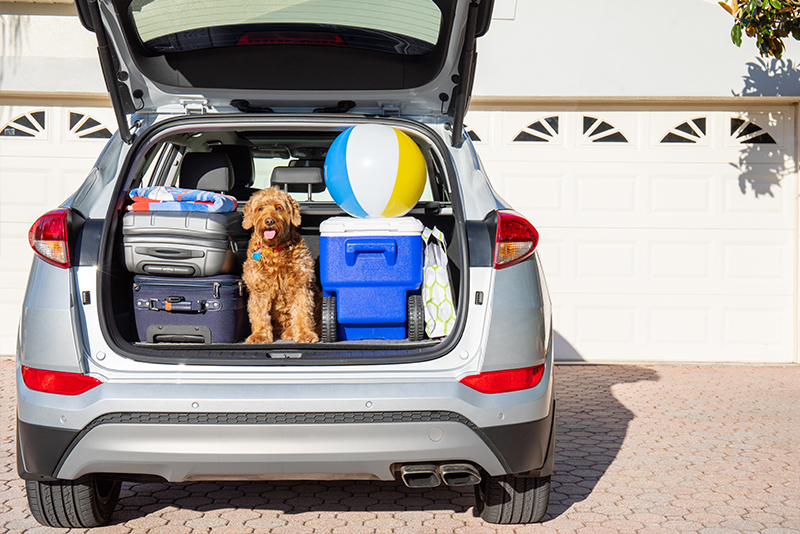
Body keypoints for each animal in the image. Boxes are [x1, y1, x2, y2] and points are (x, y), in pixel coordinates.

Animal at [241, 188, 318, 346]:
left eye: (278, 207)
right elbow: (259, 313)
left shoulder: (301, 285)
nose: (269, 221)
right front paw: (260, 335)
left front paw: (304, 334)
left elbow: (302, 311)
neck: (274, 251)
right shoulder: (258, 288)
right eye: (260, 209)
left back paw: (290, 332)